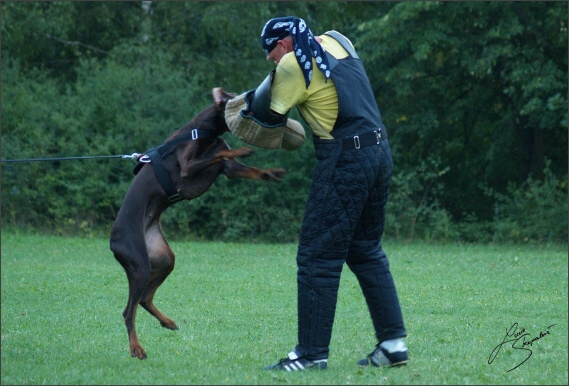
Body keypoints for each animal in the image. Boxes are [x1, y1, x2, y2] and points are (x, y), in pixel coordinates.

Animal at [111, 88, 286, 358]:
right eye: (243, 99)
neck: (203, 130)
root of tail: (112, 240)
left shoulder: (229, 170)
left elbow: (246, 168)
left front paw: (271, 172)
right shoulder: (187, 167)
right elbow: (221, 154)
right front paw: (243, 150)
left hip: (163, 258)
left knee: (145, 299)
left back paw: (167, 321)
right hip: (138, 265)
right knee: (129, 311)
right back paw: (136, 348)